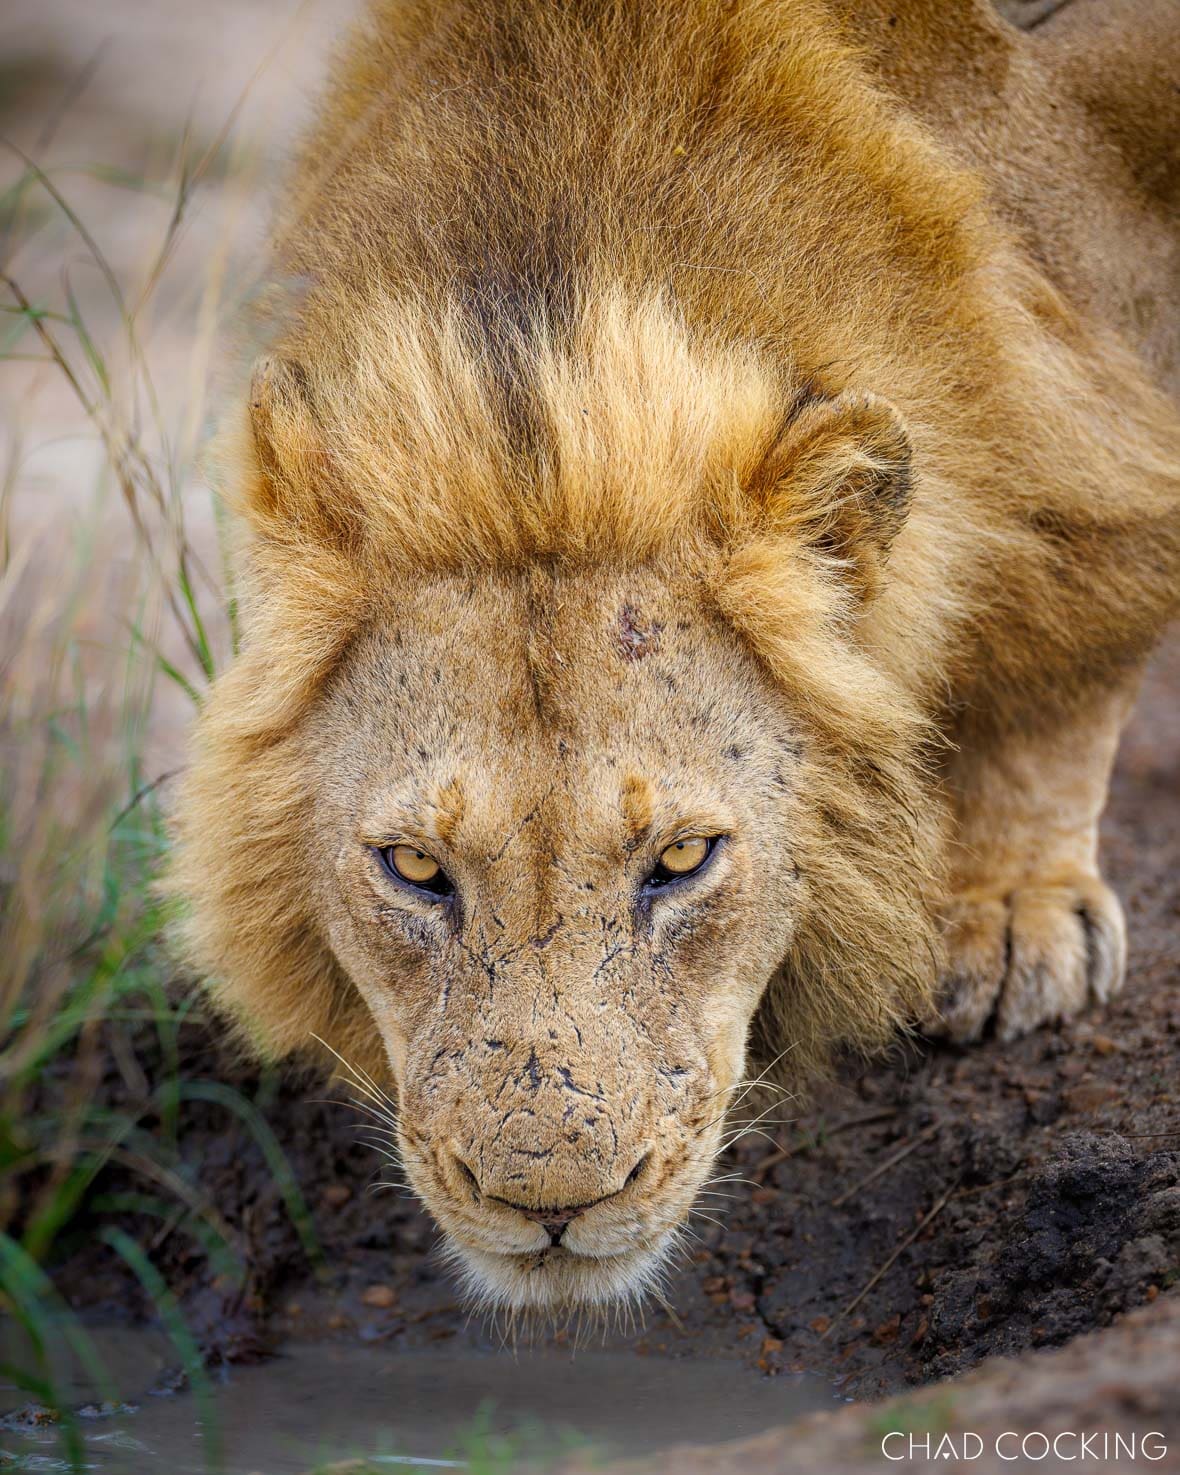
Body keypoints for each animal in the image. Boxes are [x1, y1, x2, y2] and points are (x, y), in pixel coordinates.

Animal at [170, 0, 1180, 1315]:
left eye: (685, 858)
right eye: (414, 868)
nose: (549, 1204)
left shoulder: (1096, 360)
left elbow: (1069, 653)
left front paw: (1007, 910)